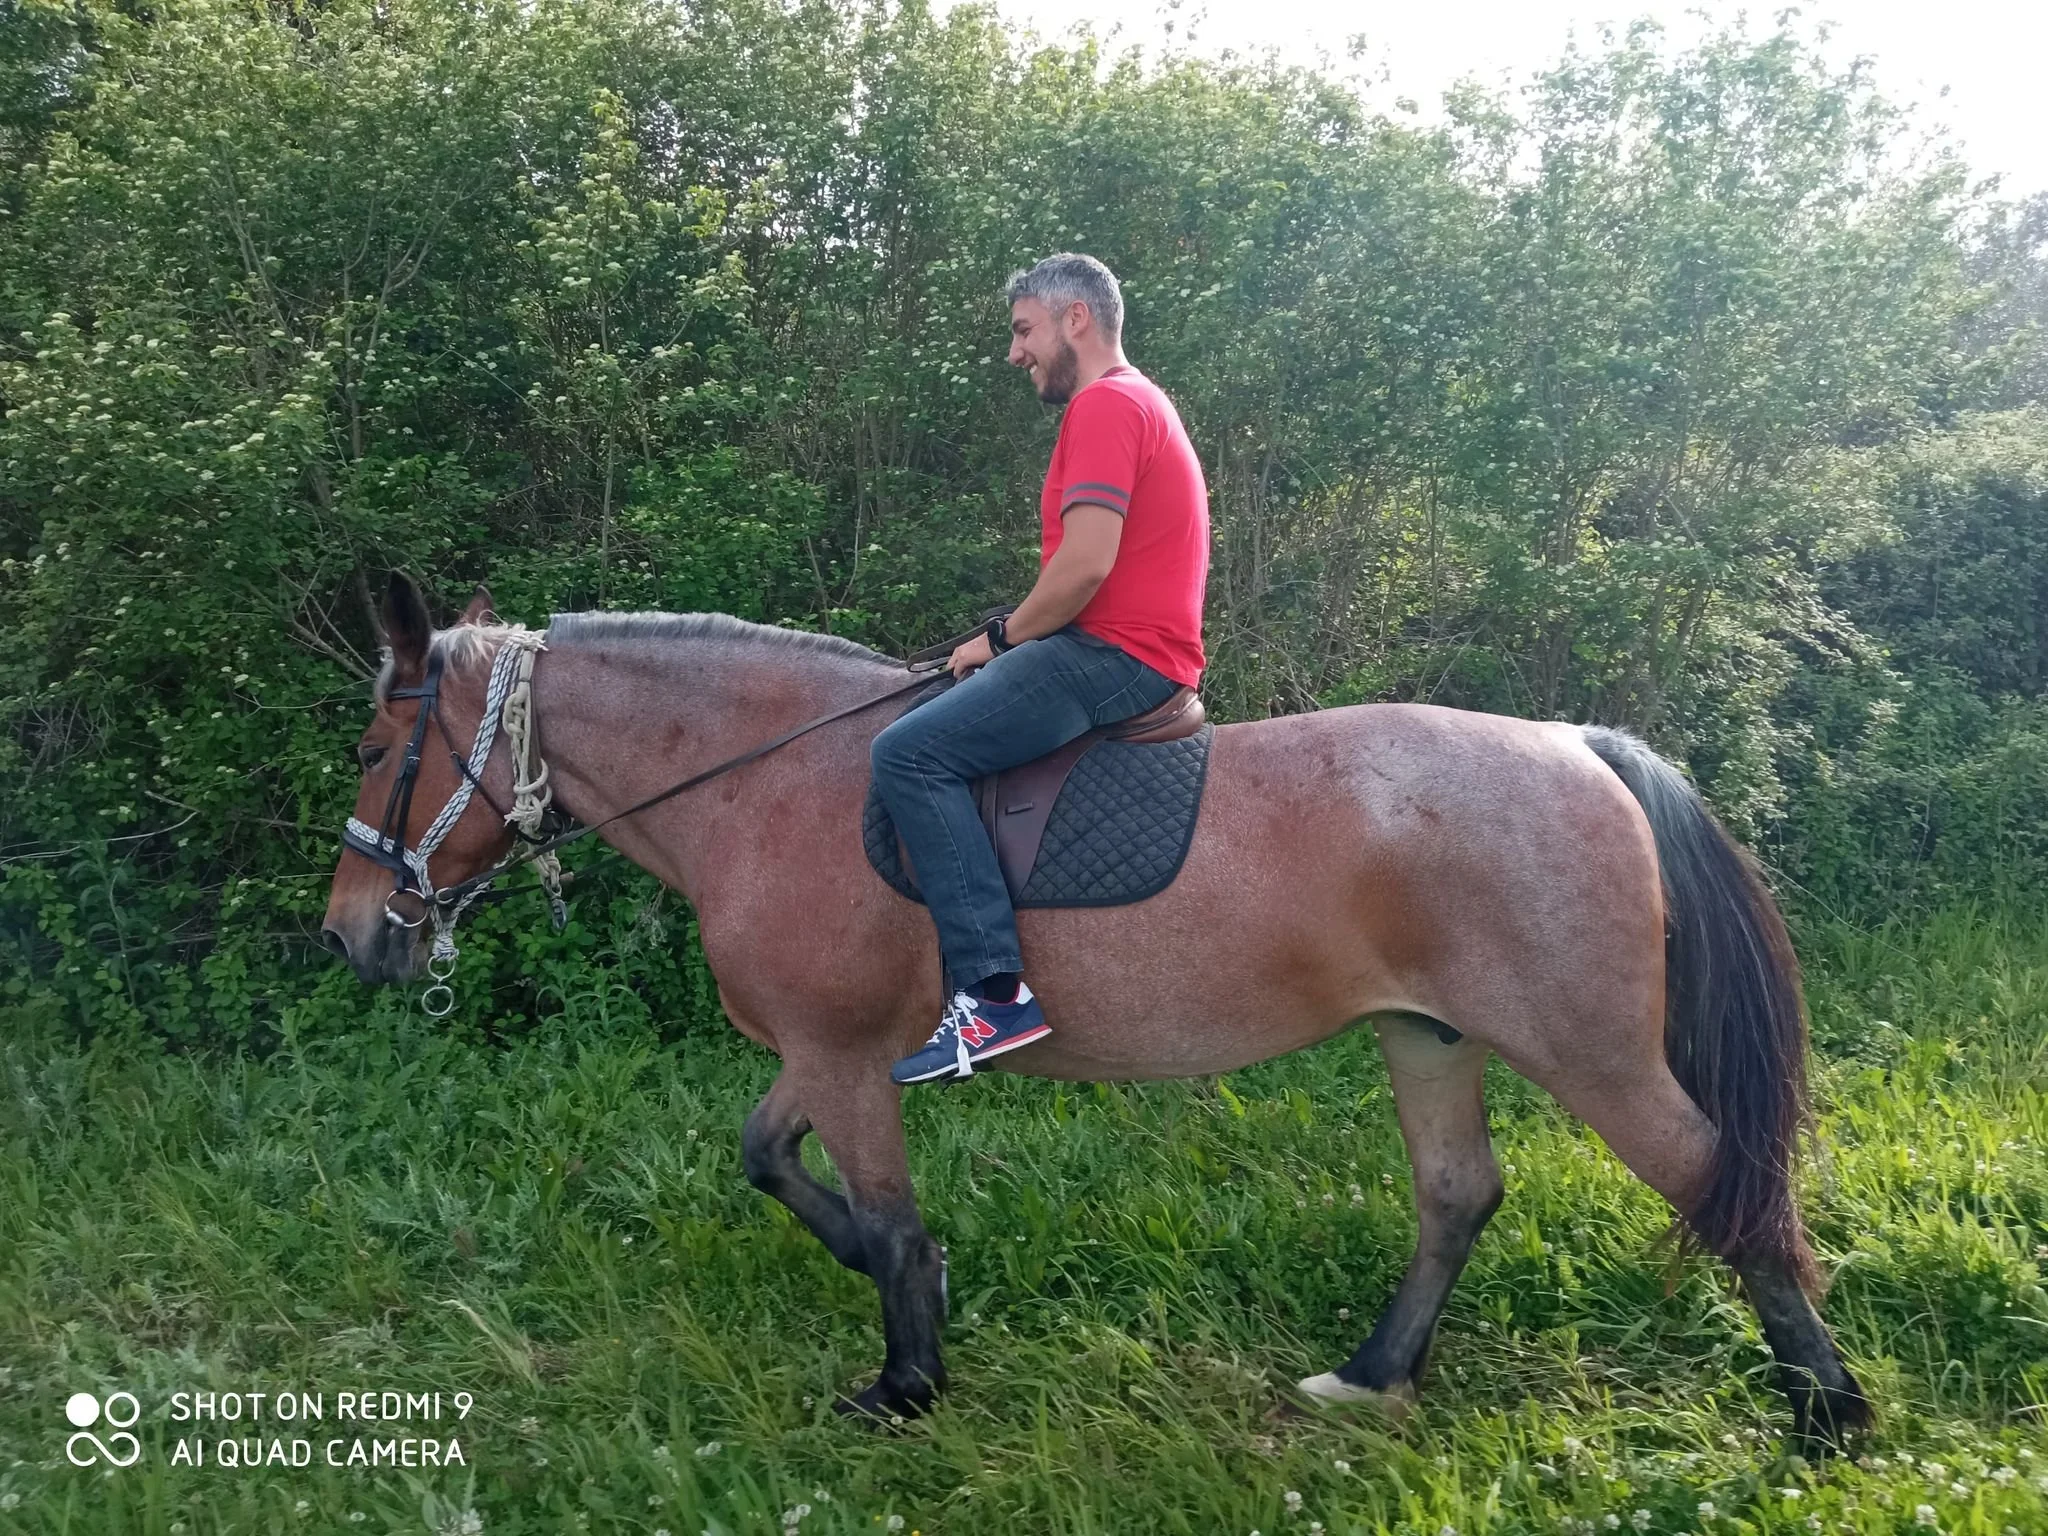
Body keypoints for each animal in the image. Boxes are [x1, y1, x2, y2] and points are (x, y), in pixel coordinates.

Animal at [320, 574, 1871, 1444]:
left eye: (383, 746)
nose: (349, 934)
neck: (769, 781)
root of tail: (1583, 748)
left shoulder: (840, 1051)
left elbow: (881, 1212)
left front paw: (905, 1384)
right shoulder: (835, 1051)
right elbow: (771, 1160)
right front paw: (916, 1297)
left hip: (1584, 1047)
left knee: (1719, 1181)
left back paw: (1829, 1414)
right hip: (1426, 1033)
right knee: (1456, 1194)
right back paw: (1372, 1375)